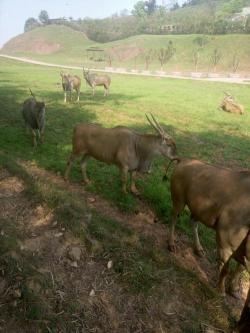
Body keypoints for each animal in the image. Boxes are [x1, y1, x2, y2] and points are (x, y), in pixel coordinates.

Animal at [166, 158, 250, 294]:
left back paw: (199, 249)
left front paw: (234, 289)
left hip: (198, 210)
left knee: (193, 222)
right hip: (179, 200)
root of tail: (184, 160)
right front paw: (221, 291)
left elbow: (239, 269)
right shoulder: (224, 244)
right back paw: (171, 244)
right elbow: (225, 269)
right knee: (174, 217)